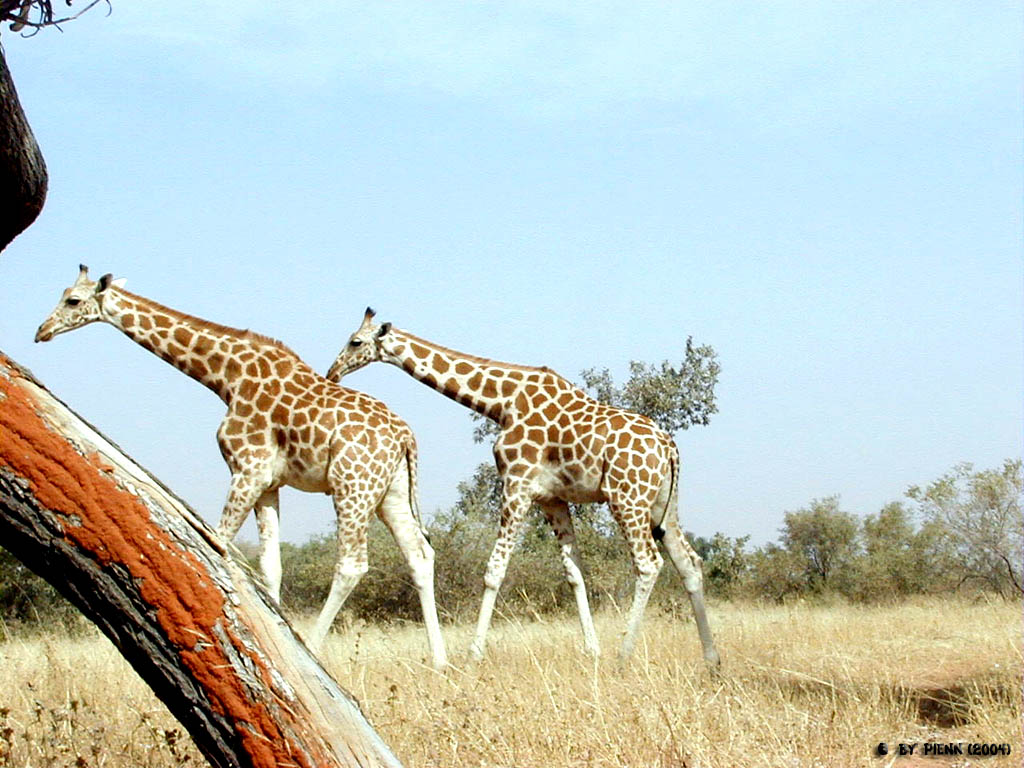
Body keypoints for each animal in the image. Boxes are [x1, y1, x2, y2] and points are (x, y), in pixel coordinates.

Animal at [37, 268, 444, 671]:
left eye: (73, 300)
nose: (41, 331)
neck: (226, 377)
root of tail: (406, 437)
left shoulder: (248, 468)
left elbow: (218, 542)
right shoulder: (268, 483)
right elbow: (270, 565)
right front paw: (280, 637)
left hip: (352, 485)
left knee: (352, 564)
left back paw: (315, 648)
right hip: (389, 493)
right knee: (419, 555)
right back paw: (438, 661)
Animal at [327, 309, 720, 667]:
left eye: (355, 341)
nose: (333, 372)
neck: (501, 402)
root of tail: (669, 447)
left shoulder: (516, 483)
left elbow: (494, 570)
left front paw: (474, 654)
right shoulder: (552, 499)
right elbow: (575, 573)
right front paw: (591, 651)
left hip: (627, 498)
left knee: (649, 563)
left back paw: (623, 655)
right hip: (662, 506)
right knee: (689, 562)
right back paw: (711, 658)